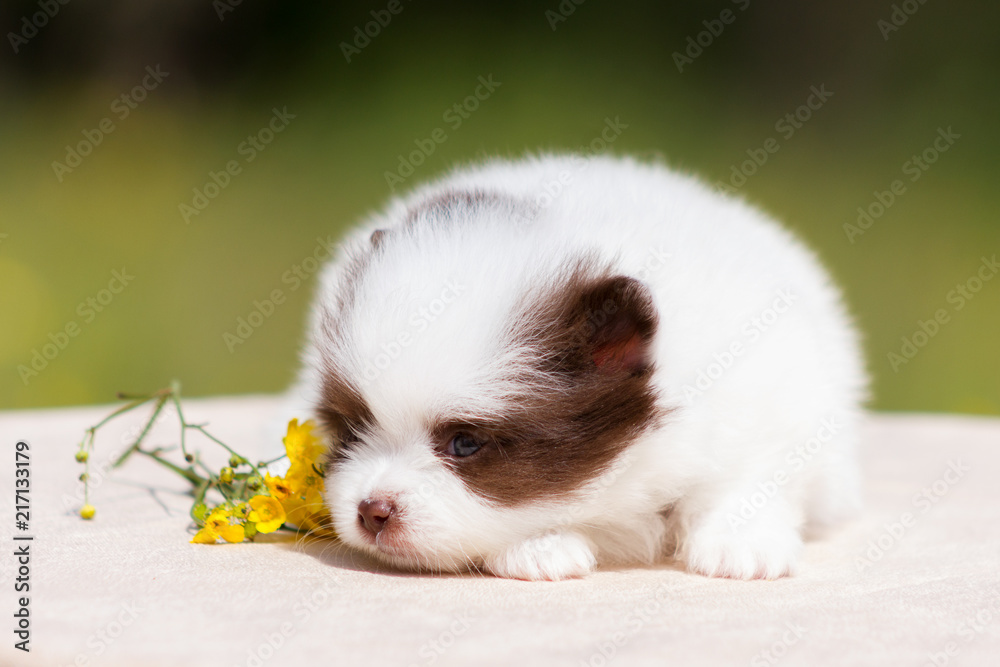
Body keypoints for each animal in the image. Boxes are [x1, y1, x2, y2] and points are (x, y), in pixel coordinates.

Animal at [292, 154, 868, 580]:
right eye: (353, 429)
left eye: (465, 444)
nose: (371, 512)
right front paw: (539, 547)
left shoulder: (771, 396)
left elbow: (747, 480)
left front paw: (741, 545)